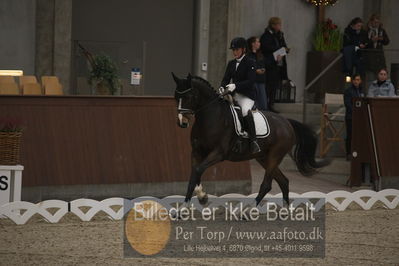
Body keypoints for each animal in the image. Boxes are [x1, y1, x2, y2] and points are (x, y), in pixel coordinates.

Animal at [173, 74, 332, 207]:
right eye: (176, 96)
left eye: (190, 96)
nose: (182, 122)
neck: (211, 118)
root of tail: (287, 122)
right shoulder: (196, 152)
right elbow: (194, 174)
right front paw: (197, 199)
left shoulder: (218, 153)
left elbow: (198, 170)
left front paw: (194, 202)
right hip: (263, 158)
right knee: (283, 181)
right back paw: (285, 211)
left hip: (275, 155)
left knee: (267, 184)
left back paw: (248, 212)